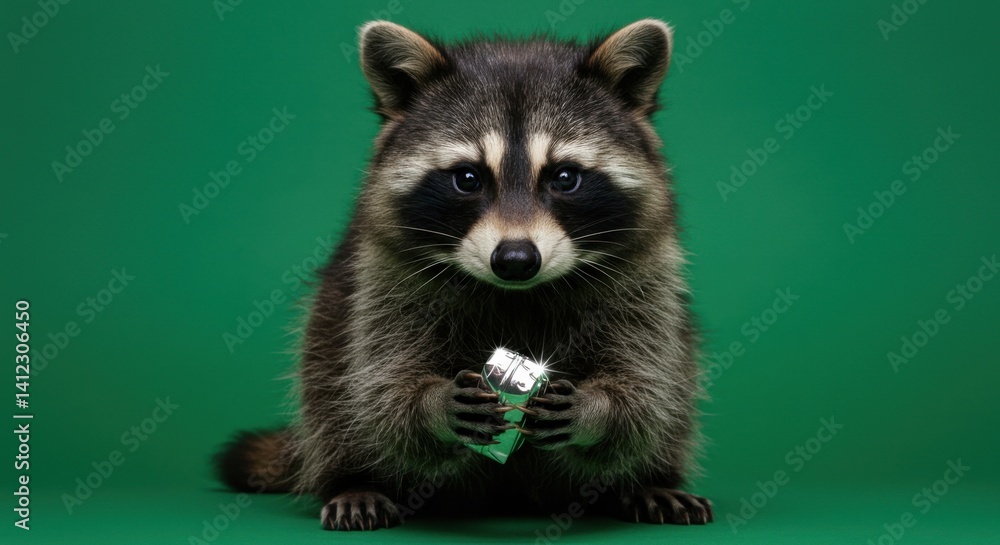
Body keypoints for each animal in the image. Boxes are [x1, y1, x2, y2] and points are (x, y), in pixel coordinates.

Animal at [215, 18, 713, 530]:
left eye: (564, 177)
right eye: (468, 178)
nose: (515, 259)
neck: (518, 292)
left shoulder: (644, 274)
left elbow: (647, 383)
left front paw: (600, 410)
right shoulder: (384, 276)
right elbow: (381, 383)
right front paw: (430, 408)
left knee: (677, 385)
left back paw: (648, 480)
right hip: (333, 314)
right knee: (328, 384)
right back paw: (353, 479)